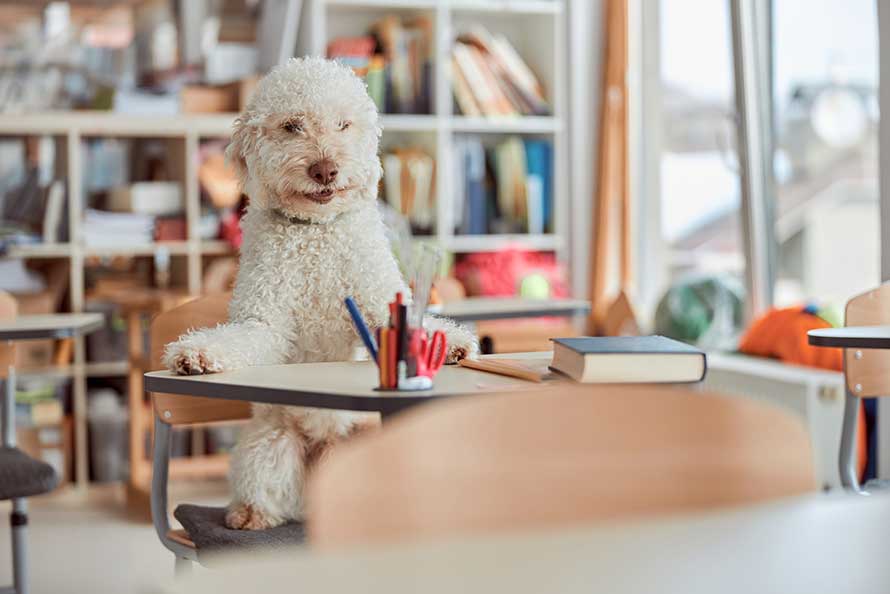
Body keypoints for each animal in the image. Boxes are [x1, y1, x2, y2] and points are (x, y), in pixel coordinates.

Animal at [162, 56, 476, 528]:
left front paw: (451, 341)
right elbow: (240, 337)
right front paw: (196, 353)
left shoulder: (377, 302)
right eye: (292, 126)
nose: (325, 169)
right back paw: (249, 514)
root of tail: (327, 448)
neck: (316, 232)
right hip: (270, 443)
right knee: (267, 484)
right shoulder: (264, 322)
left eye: (343, 124)